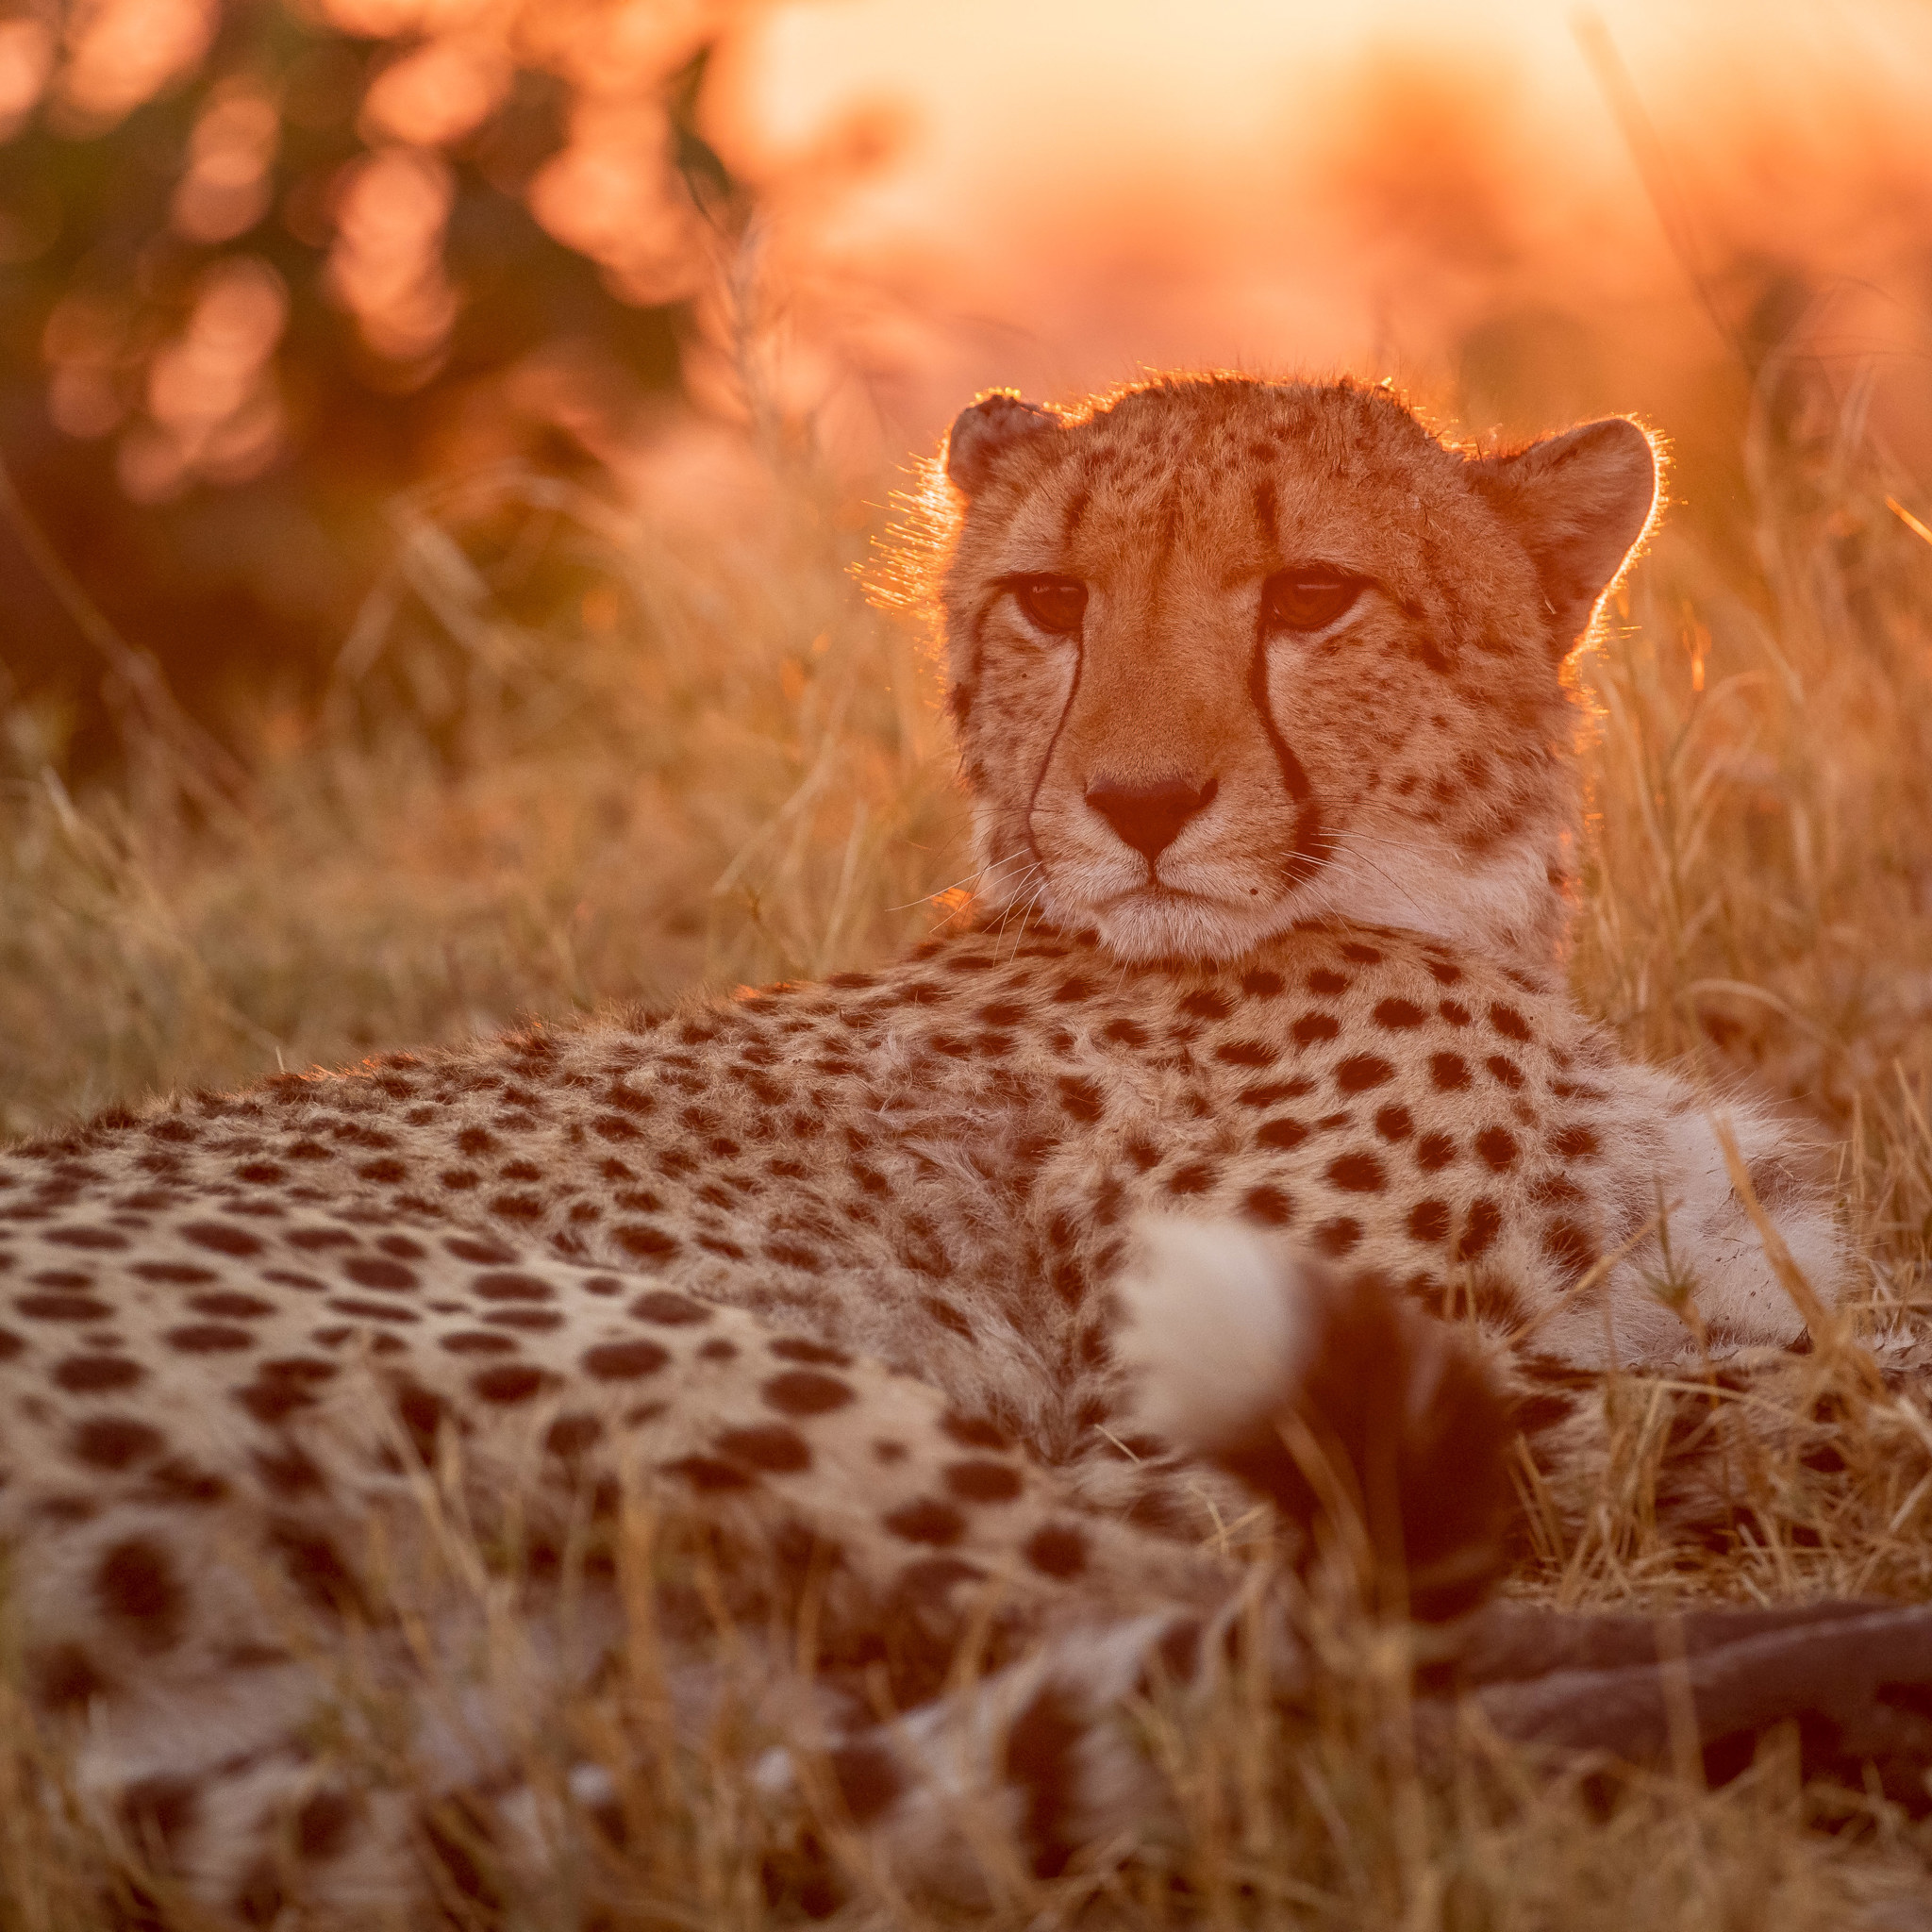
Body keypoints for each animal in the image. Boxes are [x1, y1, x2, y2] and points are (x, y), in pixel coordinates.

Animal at [0, 376, 1846, 1916]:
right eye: (1052, 601)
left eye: (1312, 596)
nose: (1139, 804)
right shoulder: (1167, 1421)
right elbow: (1738, 1399)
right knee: (1294, 1657)